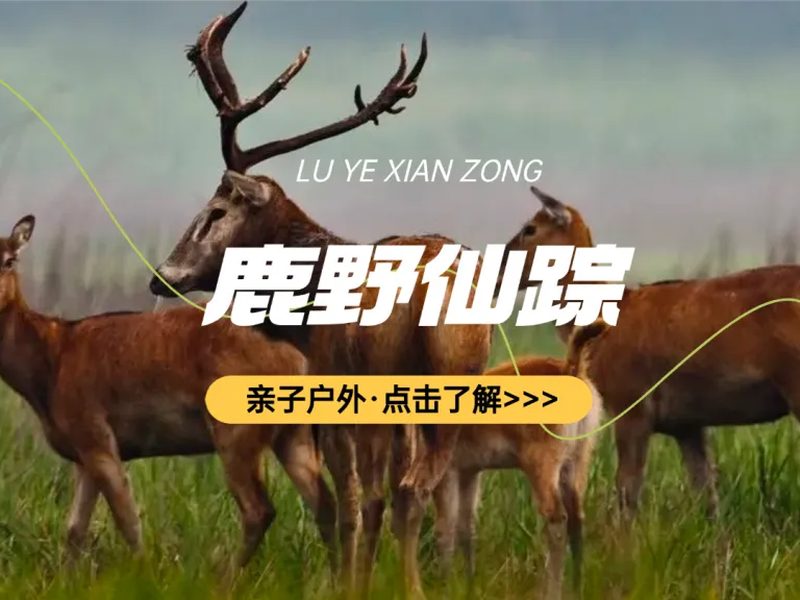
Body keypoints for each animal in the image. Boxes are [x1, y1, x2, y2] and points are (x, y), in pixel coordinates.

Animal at [0, 214, 337, 569]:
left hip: (236, 429)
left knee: (260, 509)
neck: (46, 371)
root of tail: (300, 357)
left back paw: (224, 575)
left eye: (10, 260)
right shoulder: (82, 451)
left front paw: (144, 570)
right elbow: (75, 530)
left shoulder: (95, 434)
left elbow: (128, 521)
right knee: (326, 505)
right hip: (294, 432)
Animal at [148, 2, 492, 595]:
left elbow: (350, 500)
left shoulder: (334, 385)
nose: (162, 276)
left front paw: (348, 581)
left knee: (395, 489)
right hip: (452, 382)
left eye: (216, 210)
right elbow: (376, 497)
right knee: (415, 487)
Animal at [502, 183, 800, 519]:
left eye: (530, 228)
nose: (497, 266)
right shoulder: (687, 424)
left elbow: (627, 491)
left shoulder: (631, 402)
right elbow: (707, 496)